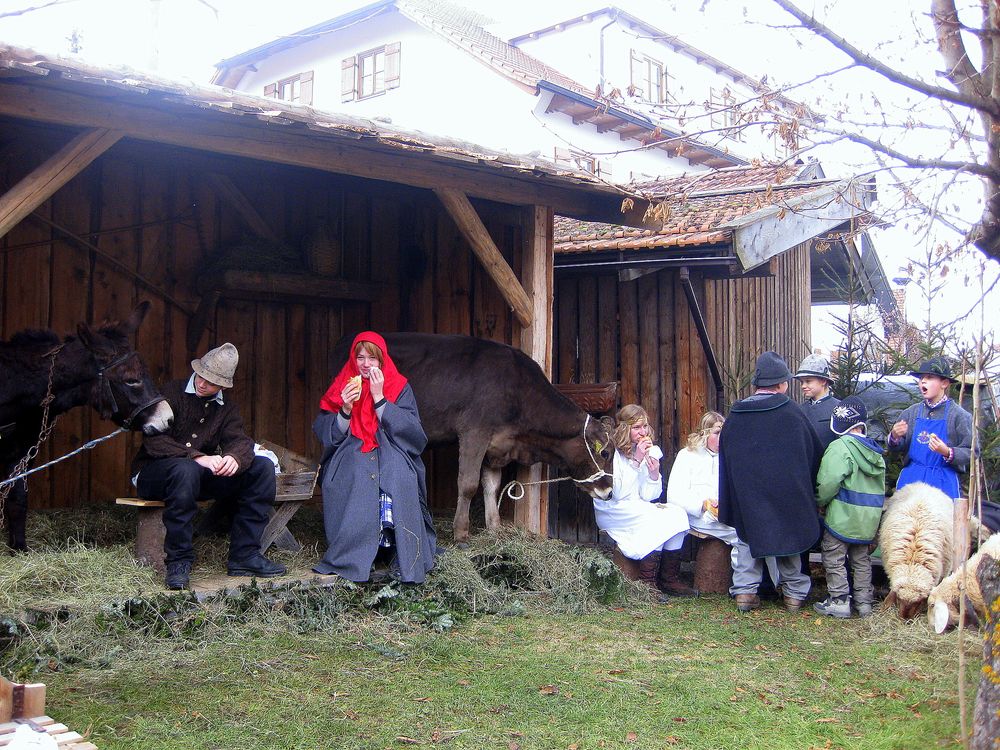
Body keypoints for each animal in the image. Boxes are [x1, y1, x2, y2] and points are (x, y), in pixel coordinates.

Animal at [330, 334, 608, 540]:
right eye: (604, 452)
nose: (608, 491)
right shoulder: (475, 432)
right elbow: (468, 484)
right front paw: (461, 533)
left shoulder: (496, 444)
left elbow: (492, 485)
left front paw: (494, 527)